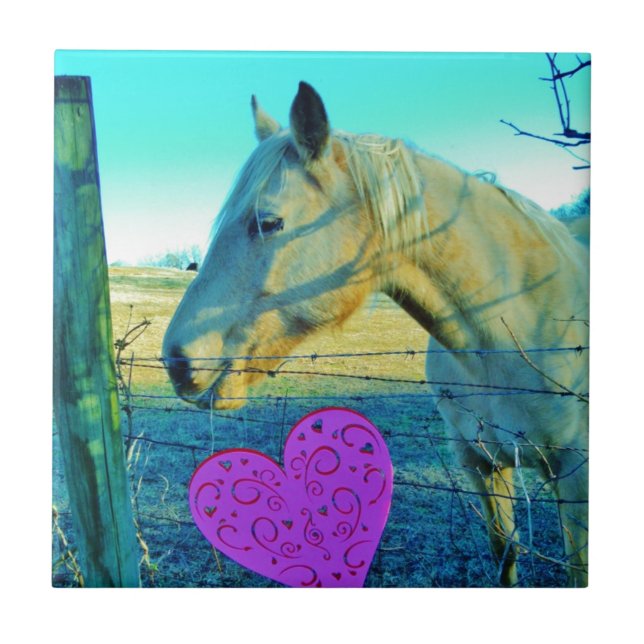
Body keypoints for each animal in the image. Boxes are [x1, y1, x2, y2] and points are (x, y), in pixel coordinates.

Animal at [163, 82, 589, 587]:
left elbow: (578, 569)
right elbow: (504, 553)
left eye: (269, 222)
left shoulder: (575, 476)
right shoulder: (478, 462)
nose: (177, 360)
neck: (512, 331)